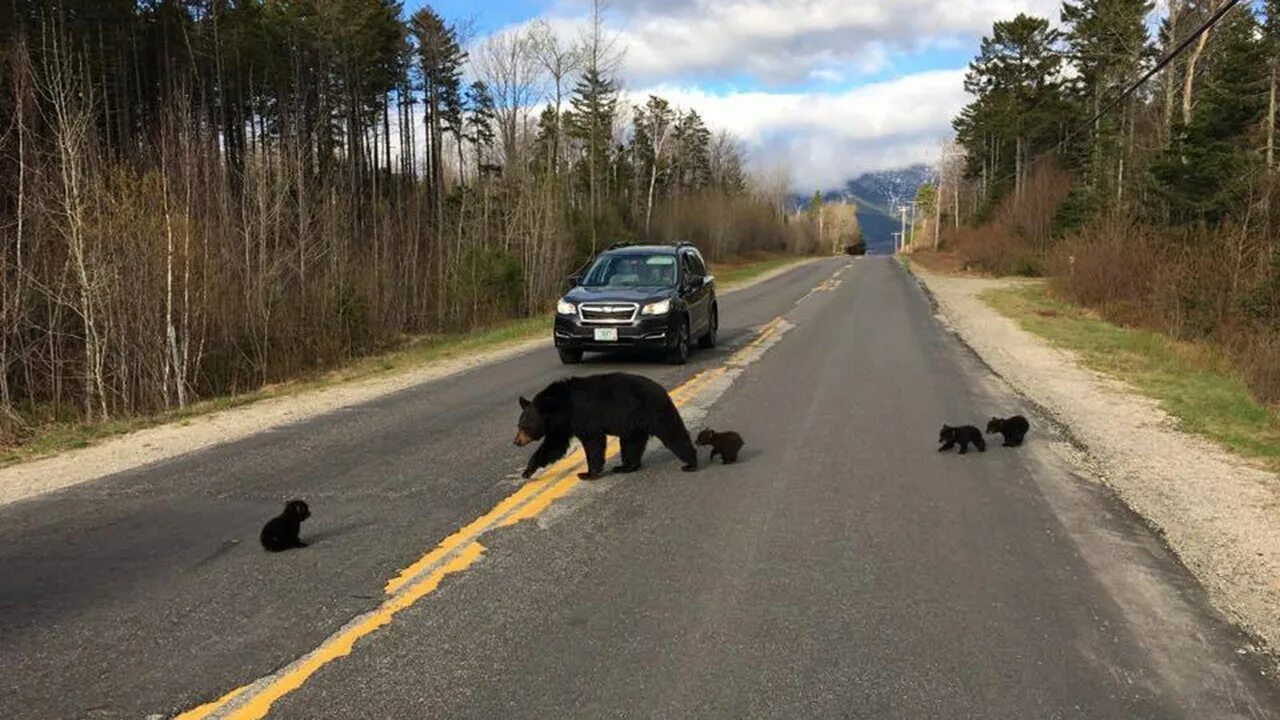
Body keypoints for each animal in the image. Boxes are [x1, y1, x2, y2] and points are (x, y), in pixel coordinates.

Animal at [514, 371, 701, 479]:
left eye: (525, 427)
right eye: (518, 425)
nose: (516, 441)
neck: (561, 405)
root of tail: (662, 390)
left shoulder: (583, 415)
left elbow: (593, 442)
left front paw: (588, 473)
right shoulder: (562, 425)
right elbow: (554, 446)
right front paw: (527, 471)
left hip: (655, 411)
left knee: (673, 433)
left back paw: (691, 463)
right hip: (634, 424)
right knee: (632, 444)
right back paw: (625, 467)